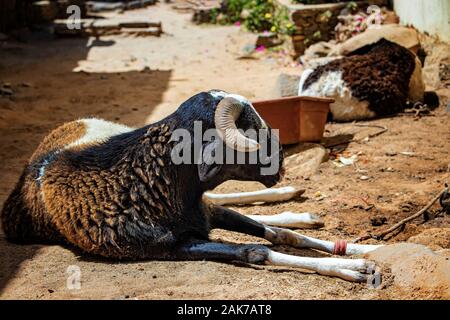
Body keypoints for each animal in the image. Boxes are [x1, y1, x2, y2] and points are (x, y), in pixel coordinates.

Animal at [2, 89, 384, 280]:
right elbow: (257, 251)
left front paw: (362, 250)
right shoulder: (172, 246)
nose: (281, 164)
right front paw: (350, 269)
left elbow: (279, 234)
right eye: (249, 126)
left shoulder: (202, 212)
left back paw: (293, 203)